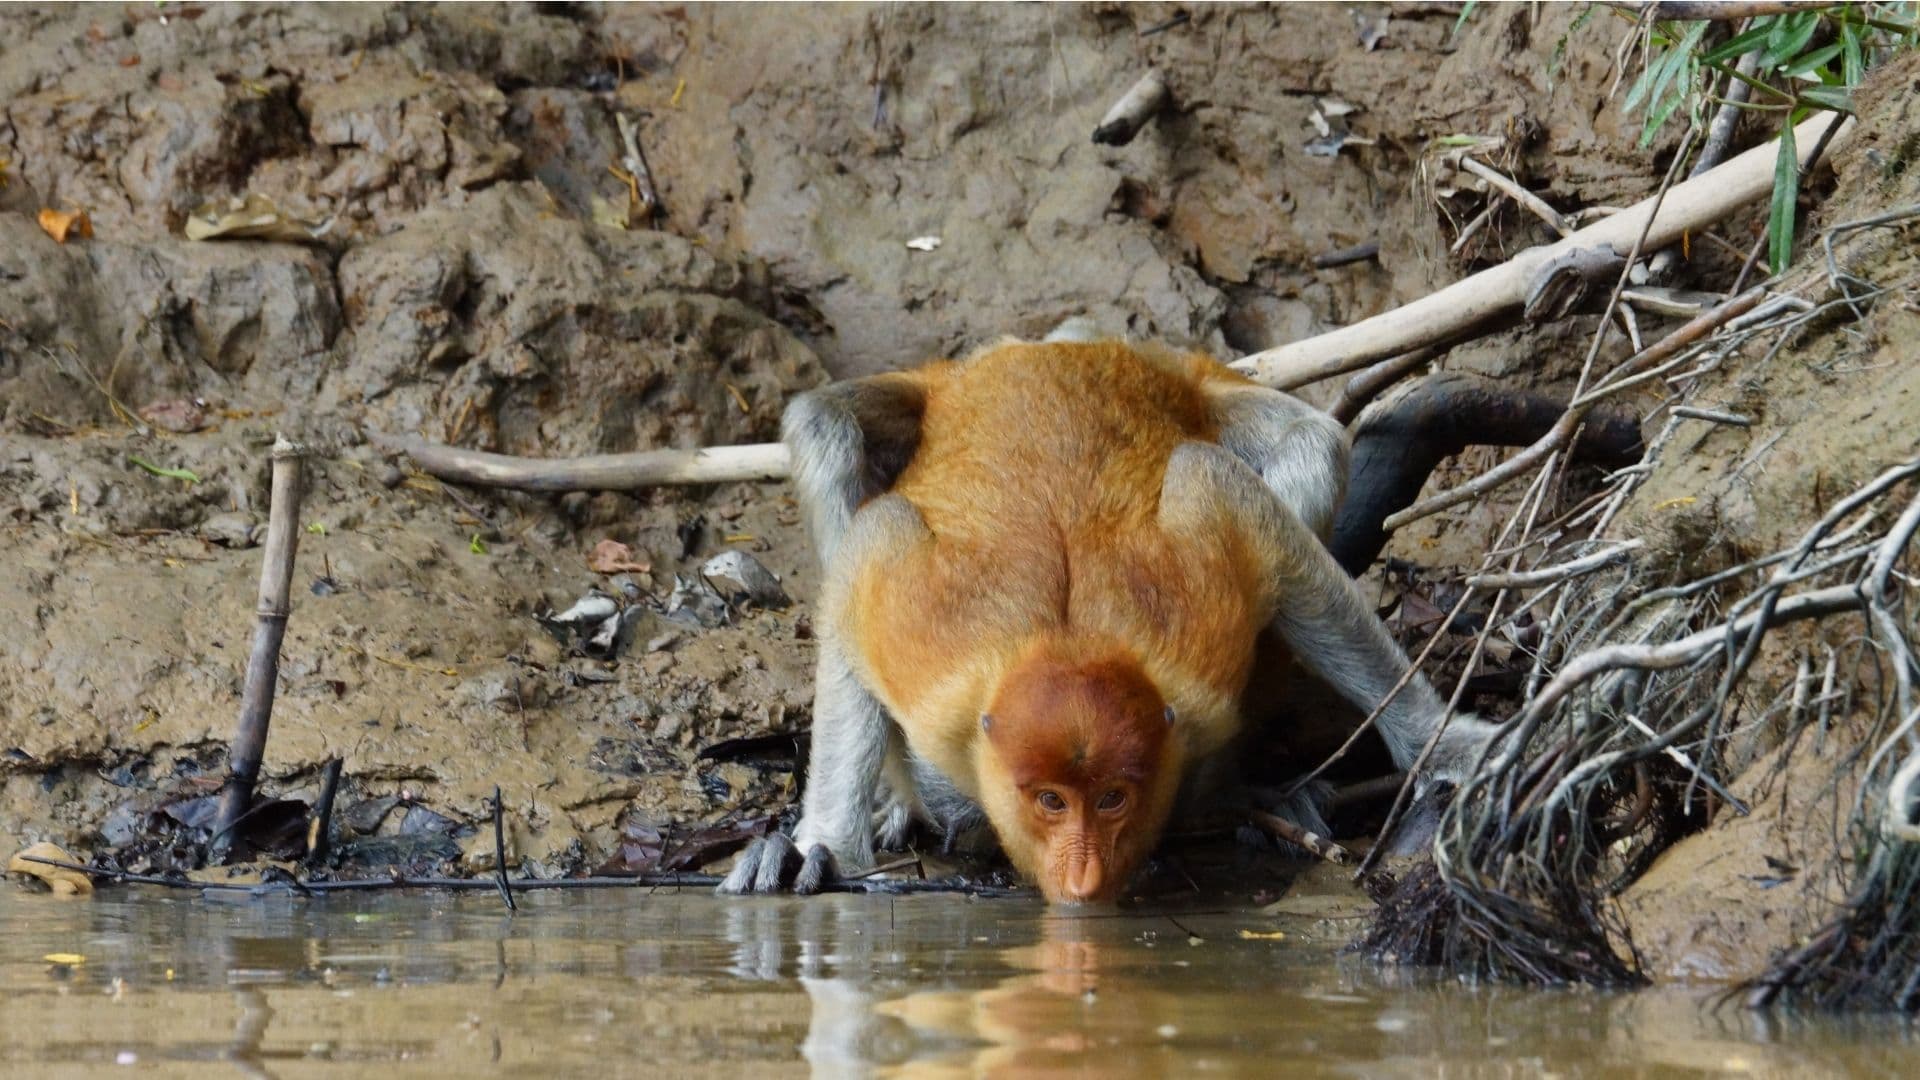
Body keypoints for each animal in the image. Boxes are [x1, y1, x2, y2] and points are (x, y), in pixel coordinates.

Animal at [721, 334, 1497, 899]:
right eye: (1051, 802)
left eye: (1115, 799)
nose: (1084, 870)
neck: (1066, 642)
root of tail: (1040, 347)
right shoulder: (918, 632)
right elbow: (867, 556)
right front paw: (820, 849)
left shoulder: (1200, 614)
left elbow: (1261, 530)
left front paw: (1451, 746)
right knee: (826, 429)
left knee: (1310, 444)